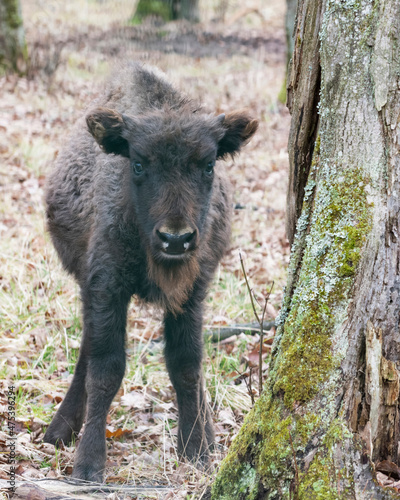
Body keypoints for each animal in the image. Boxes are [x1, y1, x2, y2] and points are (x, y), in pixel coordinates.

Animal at [43, 62, 256, 480]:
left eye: (208, 165)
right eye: (138, 163)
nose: (176, 239)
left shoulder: (192, 294)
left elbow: (186, 365)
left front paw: (197, 450)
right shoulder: (106, 288)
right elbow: (107, 368)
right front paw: (89, 464)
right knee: (87, 351)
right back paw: (59, 430)